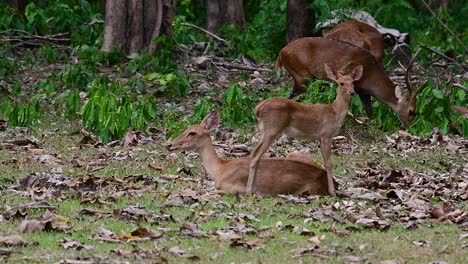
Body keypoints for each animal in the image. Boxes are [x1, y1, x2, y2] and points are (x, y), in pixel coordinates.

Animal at [166, 110, 330, 195]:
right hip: (295, 154)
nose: (169, 144)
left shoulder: (234, 187)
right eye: (185, 129)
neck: (220, 170)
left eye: (192, 133)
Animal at [249, 64, 362, 196]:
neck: (335, 113)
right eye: (341, 83)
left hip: (265, 130)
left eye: (353, 82)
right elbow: (328, 163)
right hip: (272, 129)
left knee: (254, 153)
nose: (352, 92)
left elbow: (324, 162)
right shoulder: (326, 134)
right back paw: (249, 191)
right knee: (256, 154)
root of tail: (258, 108)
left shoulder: (320, 138)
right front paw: (332, 192)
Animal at [274, 36, 424, 126]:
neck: (371, 76)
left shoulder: (363, 92)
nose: (408, 126)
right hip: (301, 75)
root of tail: (281, 53)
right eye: (411, 111)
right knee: (293, 97)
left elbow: (370, 113)